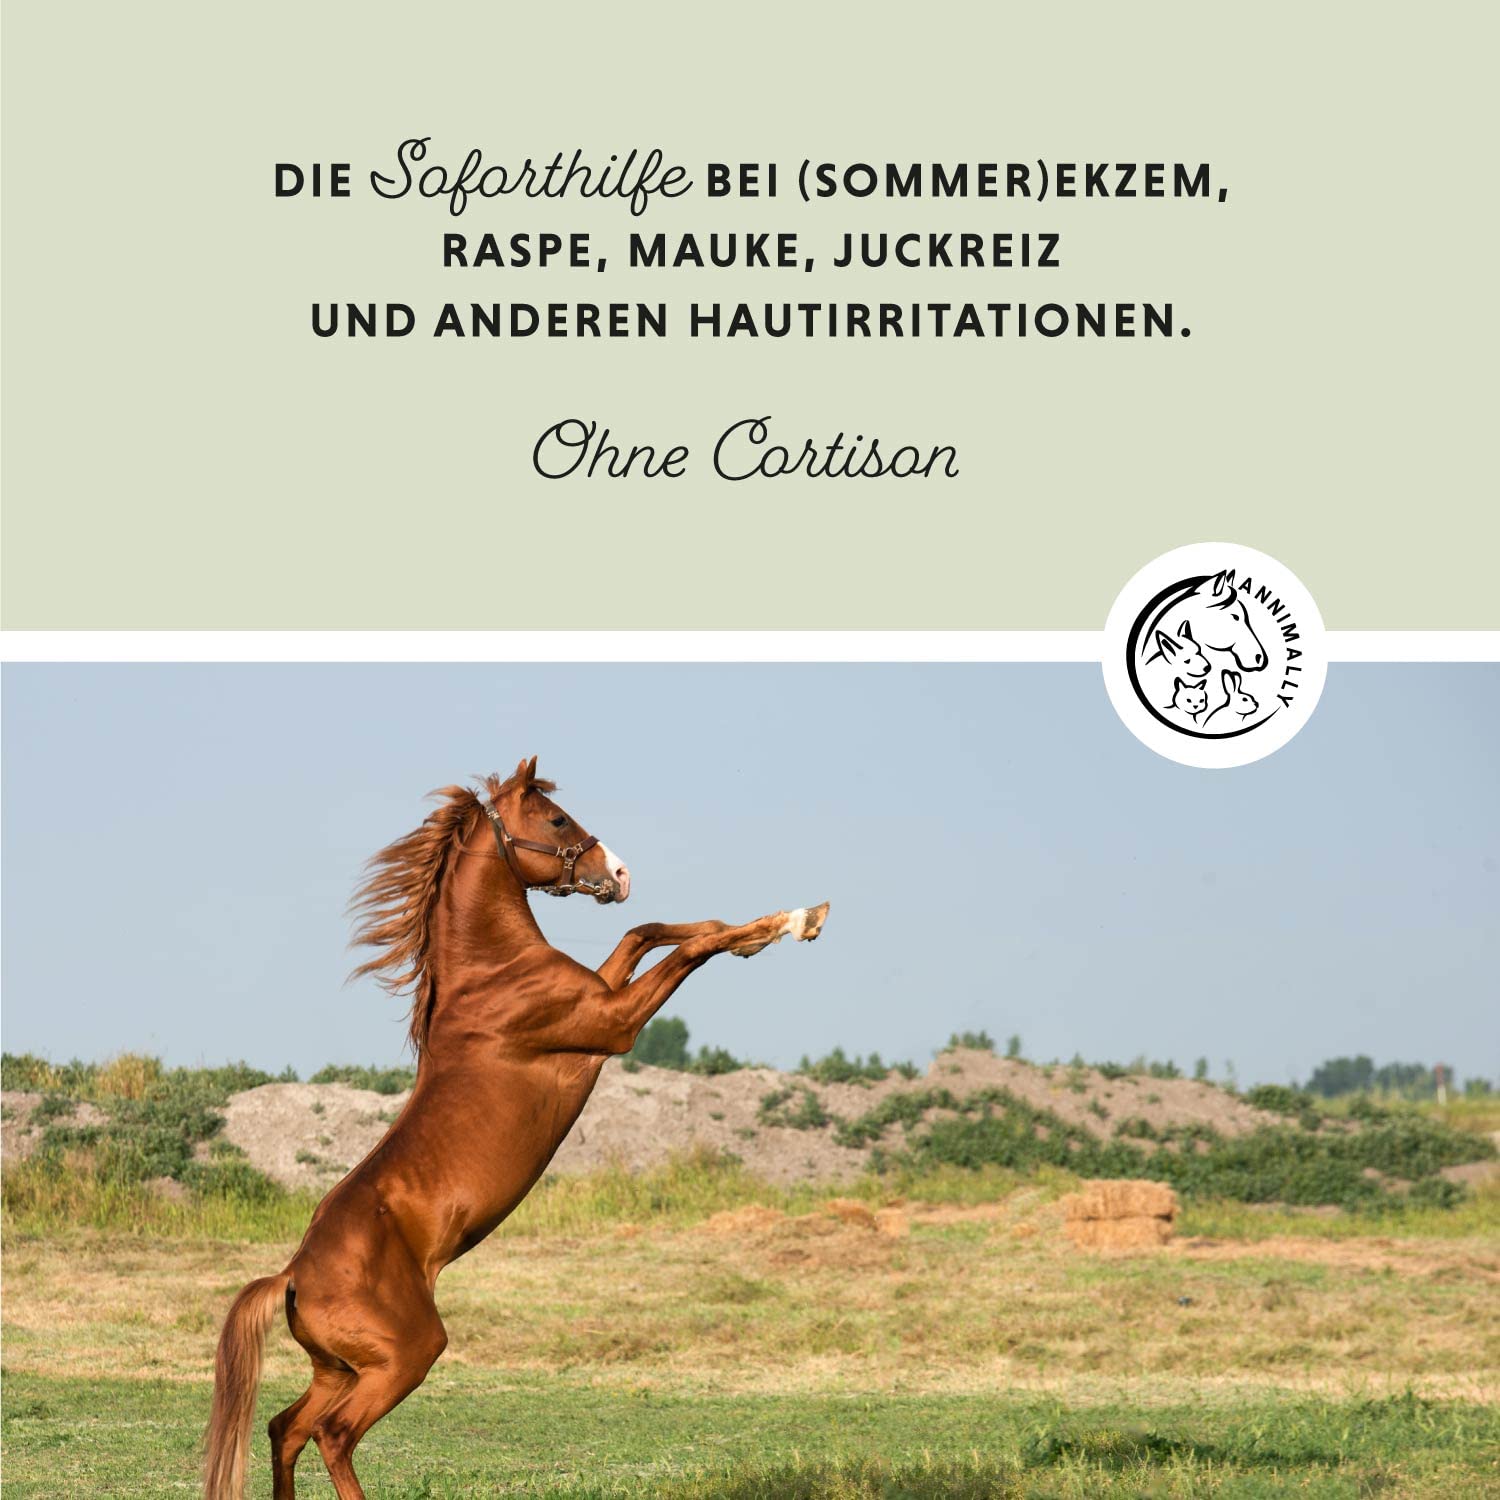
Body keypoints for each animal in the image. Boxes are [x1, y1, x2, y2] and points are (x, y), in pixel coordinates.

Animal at [203, 759, 828, 1499]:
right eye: (556, 820)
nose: (619, 874)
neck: (493, 974)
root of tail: (293, 1277)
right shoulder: (613, 1024)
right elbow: (687, 948)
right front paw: (795, 922)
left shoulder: (604, 996)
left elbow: (647, 932)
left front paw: (771, 928)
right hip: (401, 1359)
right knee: (332, 1435)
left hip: (338, 1370)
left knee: (284, 1429)